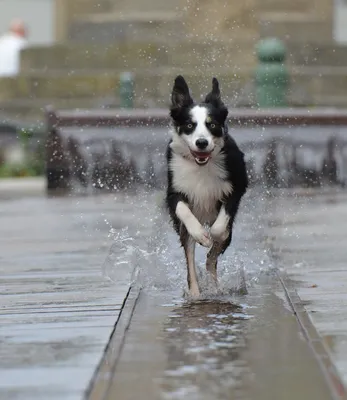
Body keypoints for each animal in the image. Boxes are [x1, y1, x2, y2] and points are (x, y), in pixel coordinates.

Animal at [165, 76, 247, 296]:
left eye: (212, 124)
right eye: (189, 125)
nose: (201, 142)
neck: (201, 165)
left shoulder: (237, 187)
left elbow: (220, 227)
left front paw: (214, 235)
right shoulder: (174, 190)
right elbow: (183, 210)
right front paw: (201, 235)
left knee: (212, 259)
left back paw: (214, 285)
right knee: (190, 261)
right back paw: (195, 293)